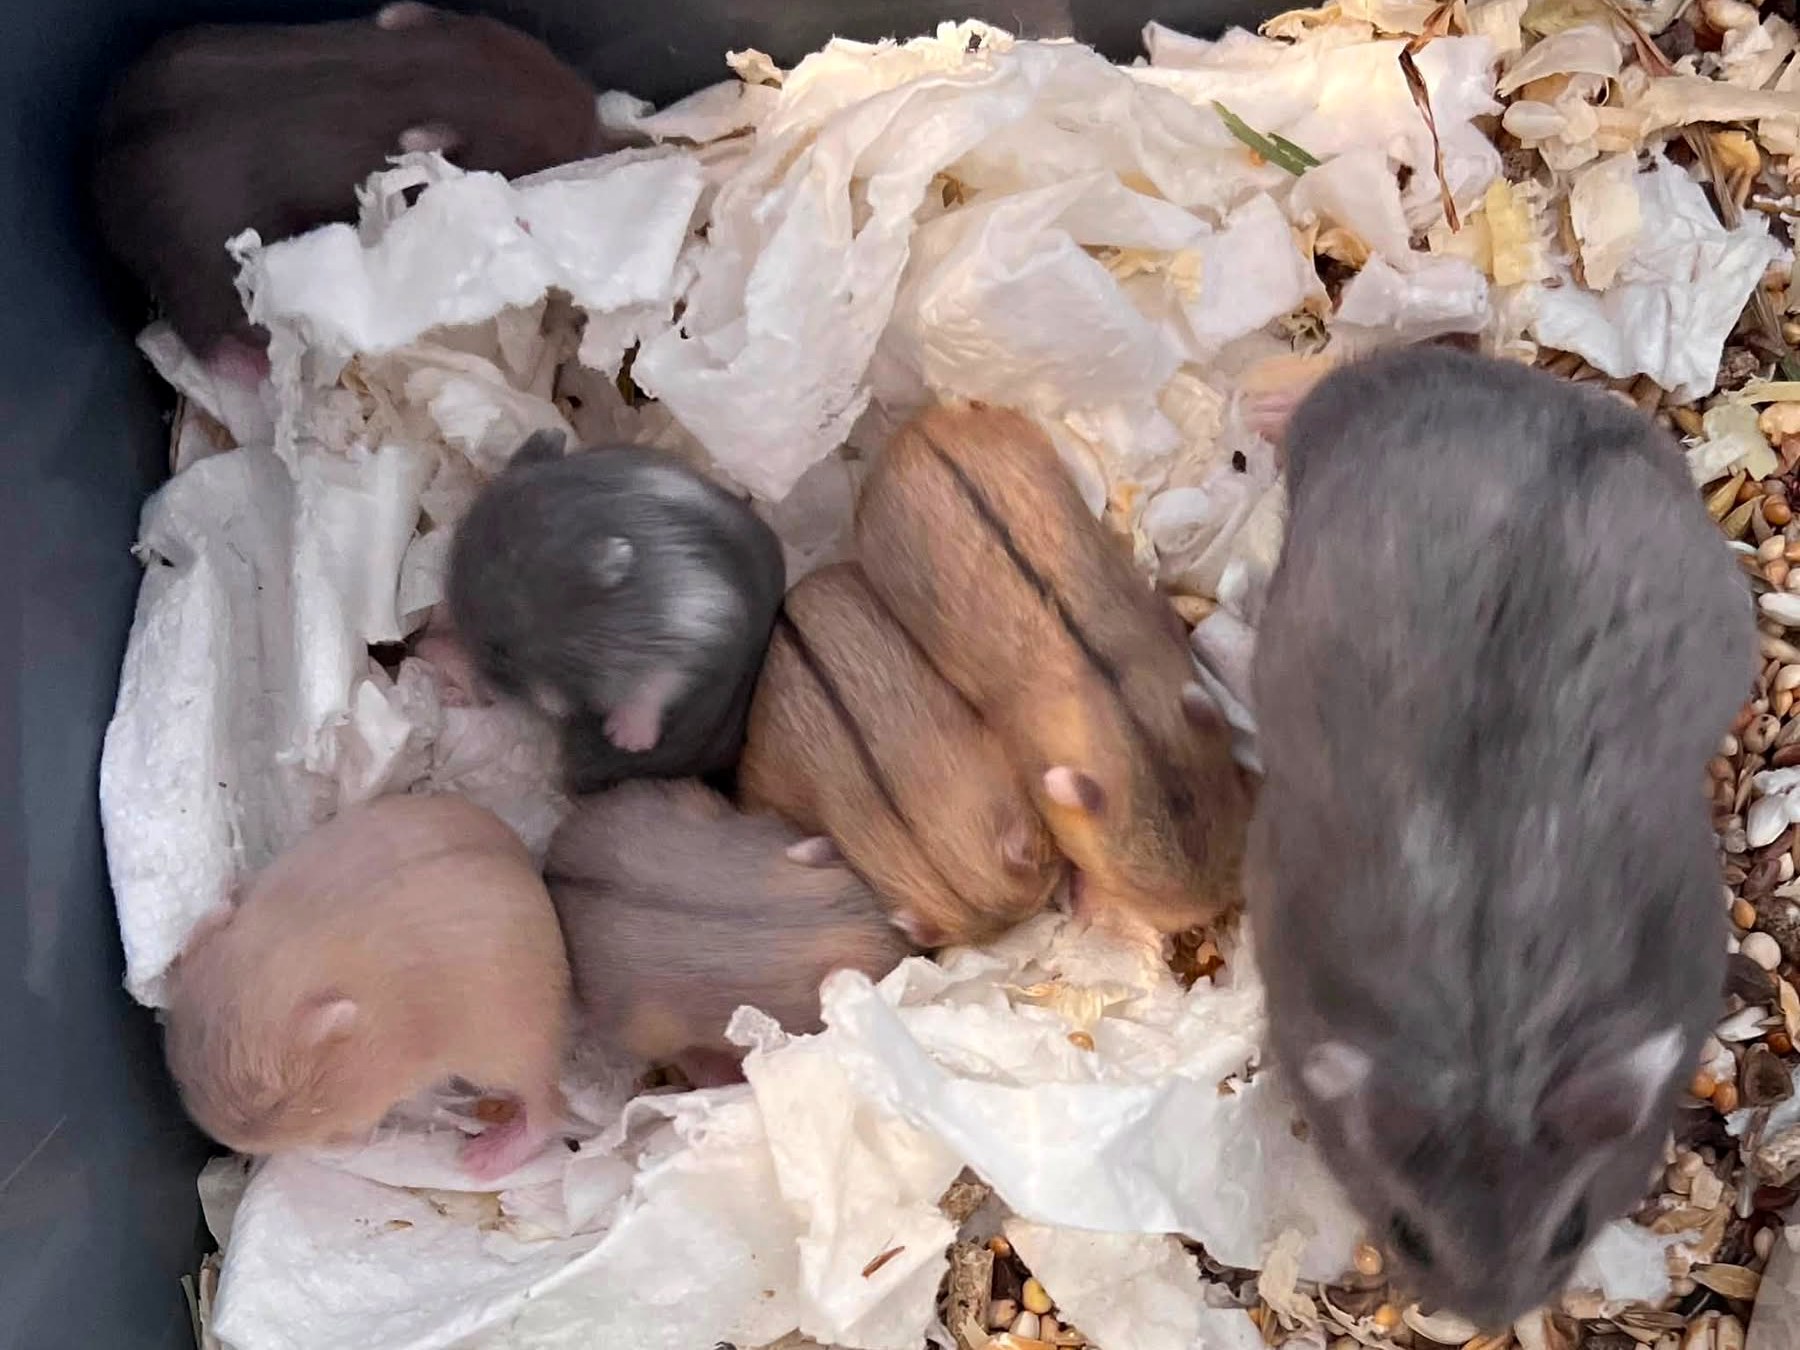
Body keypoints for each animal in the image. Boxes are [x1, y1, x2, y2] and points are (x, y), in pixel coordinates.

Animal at [91, 2, 614, 376]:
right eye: (554, 143)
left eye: (541, 54)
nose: (595, 115)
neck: (407, 78)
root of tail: (102, 186)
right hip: (196, 265)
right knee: (206, 334)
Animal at [162, 793, 572, 1182]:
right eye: (178, 1082)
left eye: (275, 1103)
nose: (229, 1142)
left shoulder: (374, 1094)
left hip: (507, 1050)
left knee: (547, 1108)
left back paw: (480, 1159)